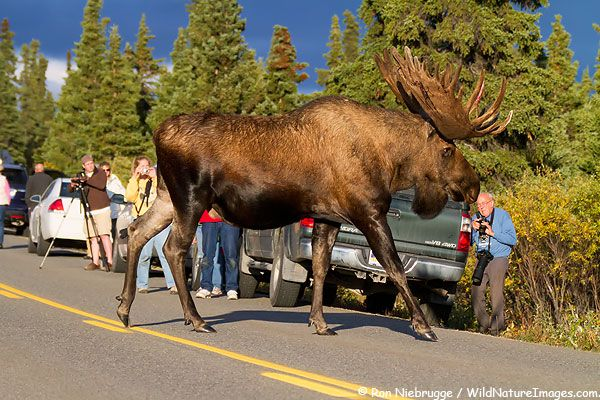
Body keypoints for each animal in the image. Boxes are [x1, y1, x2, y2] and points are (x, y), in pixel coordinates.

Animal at [116, 46, 510, 340]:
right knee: (172, 248)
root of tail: (158, 134)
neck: (389, 163)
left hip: (167, 196)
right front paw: (423, 326)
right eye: (446, 150)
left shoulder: (327, 216)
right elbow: (395, 266)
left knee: (136, 231)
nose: (473, 185)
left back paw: (124, 308)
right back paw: (195, 319)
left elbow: (321, 268)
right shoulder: (368, 211)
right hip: (192, 197)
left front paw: (319, 322)